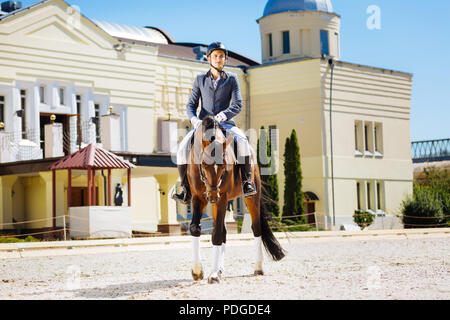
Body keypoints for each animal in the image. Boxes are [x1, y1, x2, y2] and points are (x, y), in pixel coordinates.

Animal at [186, 115, 284, 282]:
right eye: (204, 164)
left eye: (224, 165)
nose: (213, 196)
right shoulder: (197, 198)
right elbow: (195, 228)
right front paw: (198, 271)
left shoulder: (222, 197)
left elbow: (217, 234)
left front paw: (213, 274)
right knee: (224, 231)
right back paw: (219, 269)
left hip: (250, 197)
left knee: (256, 228)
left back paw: (258, 268)